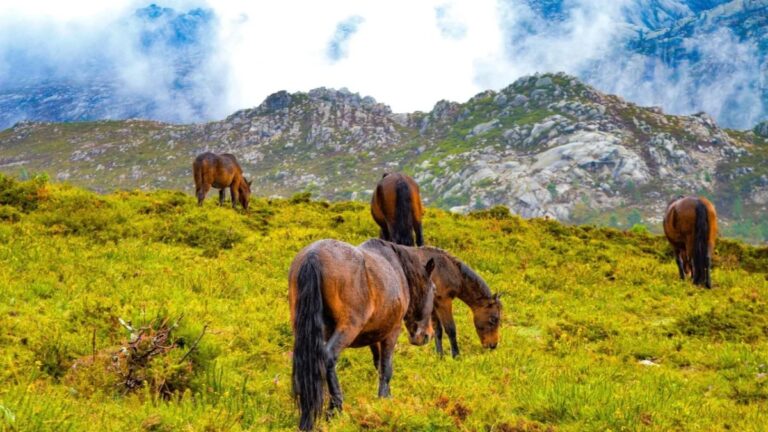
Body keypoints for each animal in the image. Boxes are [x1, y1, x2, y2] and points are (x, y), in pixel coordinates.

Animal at [289, 238, 436, 431]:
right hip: (348, 328)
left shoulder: (374, 336)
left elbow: (378, 365)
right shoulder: (392, 332)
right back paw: (335, 408)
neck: (397, 268)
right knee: (328, 357)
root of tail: (313, 256)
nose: (426, 335)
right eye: (434, 289)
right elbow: (386, 368)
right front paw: (384, 400)